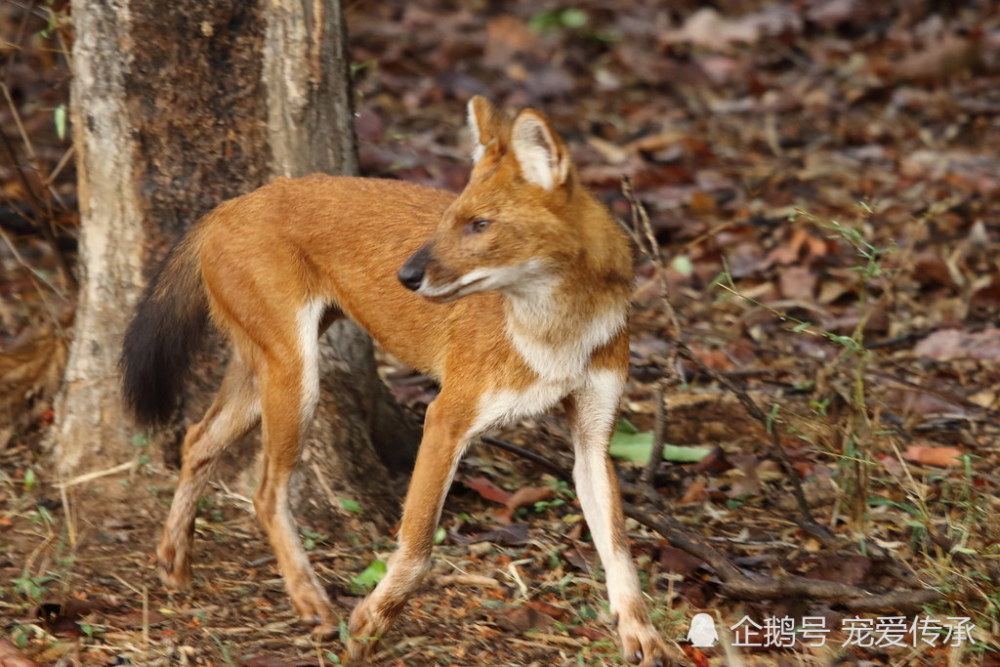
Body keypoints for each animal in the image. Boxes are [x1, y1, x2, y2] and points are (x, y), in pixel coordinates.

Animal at [123, 96, 672, 664]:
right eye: (451, 220)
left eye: (479, 224)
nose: (405, 276)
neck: (559, 333)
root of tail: (230, 205)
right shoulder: (446, 418)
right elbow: (417, 546)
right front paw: (370, 624)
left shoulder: (593, 437)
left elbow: (618, 548)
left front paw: (640, 631)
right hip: (297, 378)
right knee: (264, 491)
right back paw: (310, 600)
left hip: (268, 370)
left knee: (197, 439)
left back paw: (174, 561)